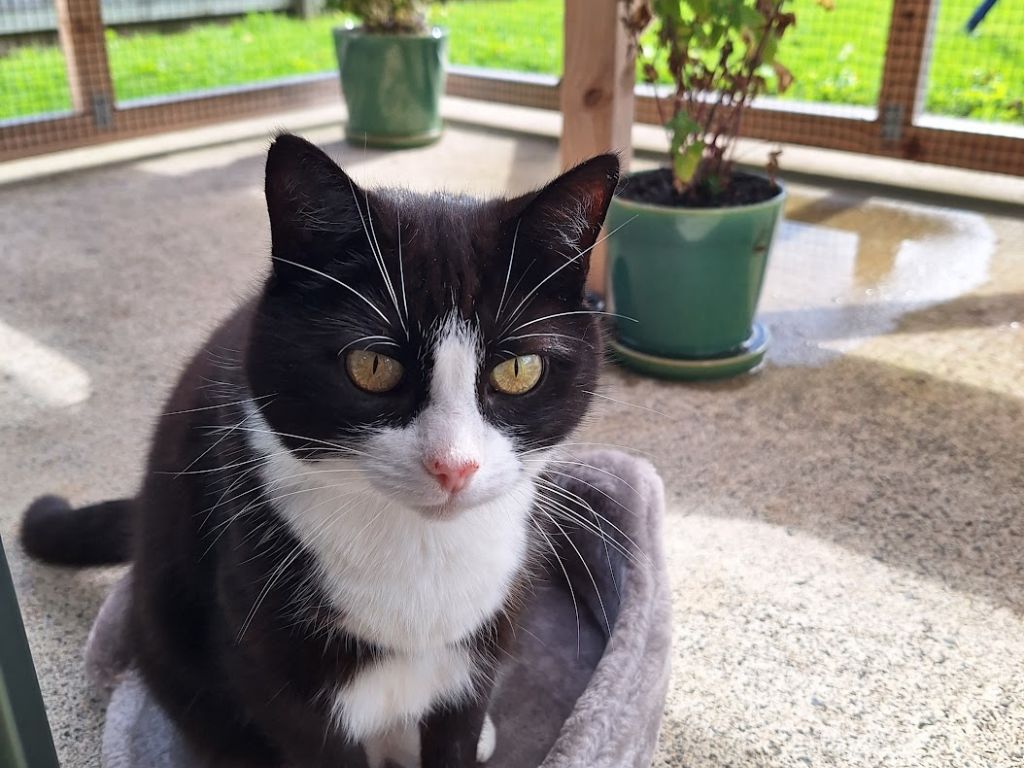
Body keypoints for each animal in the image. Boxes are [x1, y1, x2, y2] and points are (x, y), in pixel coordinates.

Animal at [22, 135, 614, 768]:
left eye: (519, 370)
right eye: (372, 366)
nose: (454, 466)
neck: (422, 549)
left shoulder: (478, 640)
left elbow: (456, 728)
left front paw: (466, 738)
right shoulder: (272, 665)